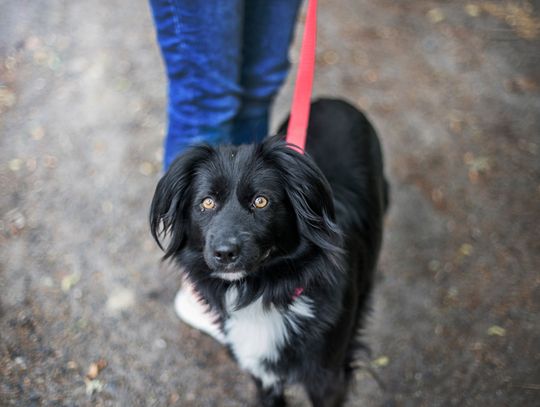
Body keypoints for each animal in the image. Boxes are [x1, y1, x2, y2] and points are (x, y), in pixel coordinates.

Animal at [150, 99, 388, 407]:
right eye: (207, 202)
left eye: (261, 201)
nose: (225, 253)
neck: (264, 294)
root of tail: (336, 101)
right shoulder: (260, 373)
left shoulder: (328, 380)